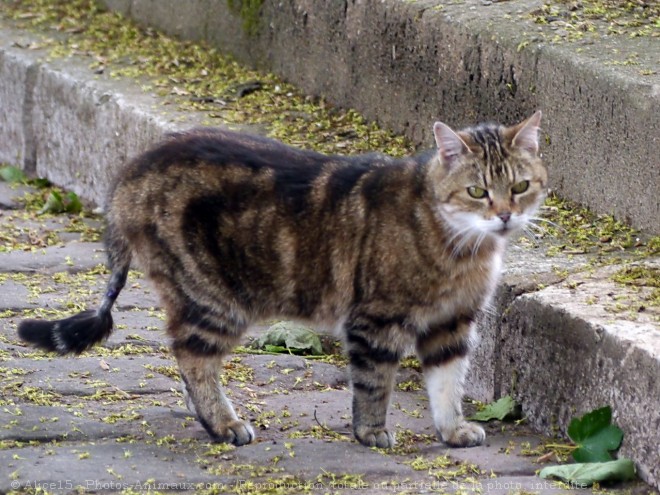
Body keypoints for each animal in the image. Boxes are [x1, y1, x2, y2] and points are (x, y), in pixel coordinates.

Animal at [19, 111, 548, 450]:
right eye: (477, 191)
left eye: (520, 187)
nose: (504, 215)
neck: (461, 247)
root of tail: (129, 171)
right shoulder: (376, 321)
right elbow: (375, 383)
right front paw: (371, 432)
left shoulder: (451, 324)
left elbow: (446, 383)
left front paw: (453, 430)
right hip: (213, 297)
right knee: (192, 357)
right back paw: (224, 424)